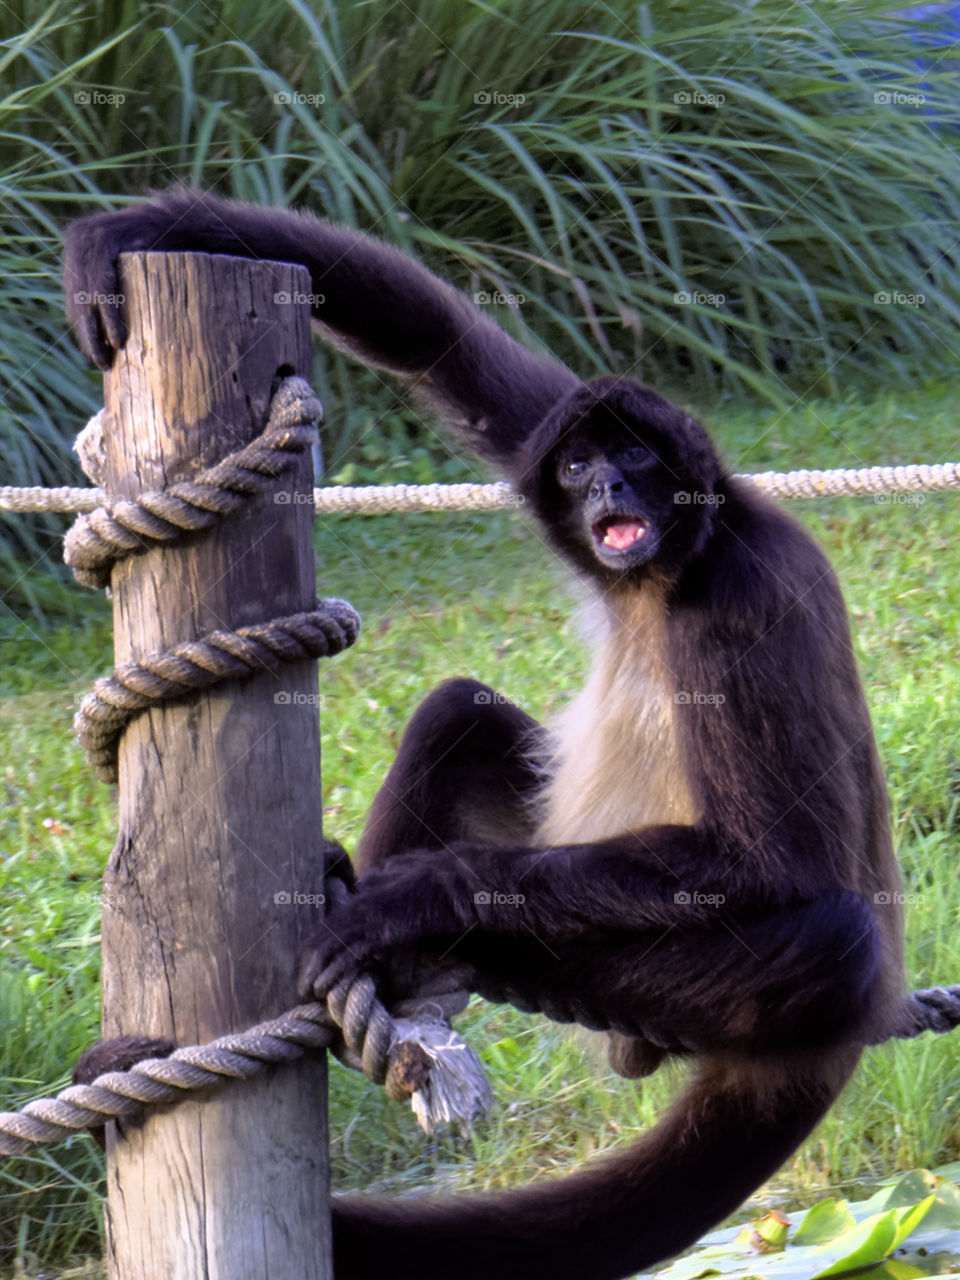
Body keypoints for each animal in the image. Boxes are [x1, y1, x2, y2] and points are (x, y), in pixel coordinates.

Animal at [64, 189, 906, 1280]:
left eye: (635, 458)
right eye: (581, 463)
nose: (607, 494)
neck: (673, 568)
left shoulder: (741, 600)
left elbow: (778, 859)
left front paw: (422, 898)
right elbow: (446, 342)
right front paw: (141, 226)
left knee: (832, 937)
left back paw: (426, 941)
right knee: (458, 710)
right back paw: (365, 950)